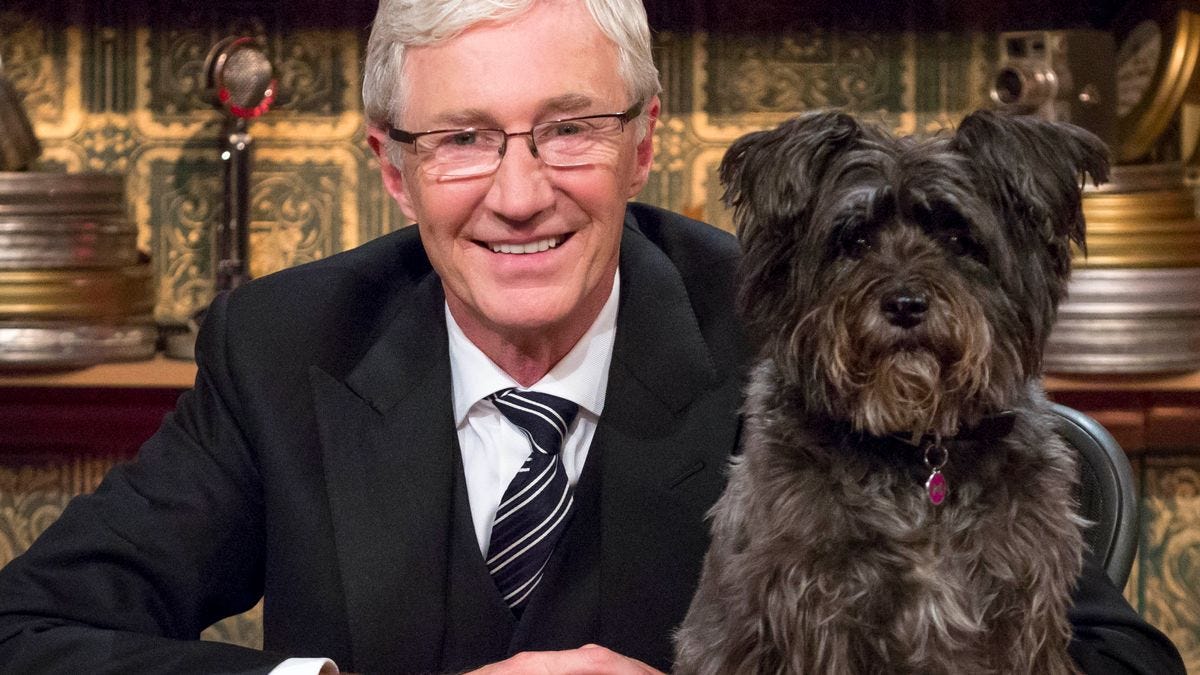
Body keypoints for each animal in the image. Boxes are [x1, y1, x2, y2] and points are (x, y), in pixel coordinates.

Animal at [676, 110, 1104, 672]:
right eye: (854, 241)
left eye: (958, 240)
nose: (904, 304)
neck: (917, 454)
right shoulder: (814, 611)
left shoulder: (1024, 609)